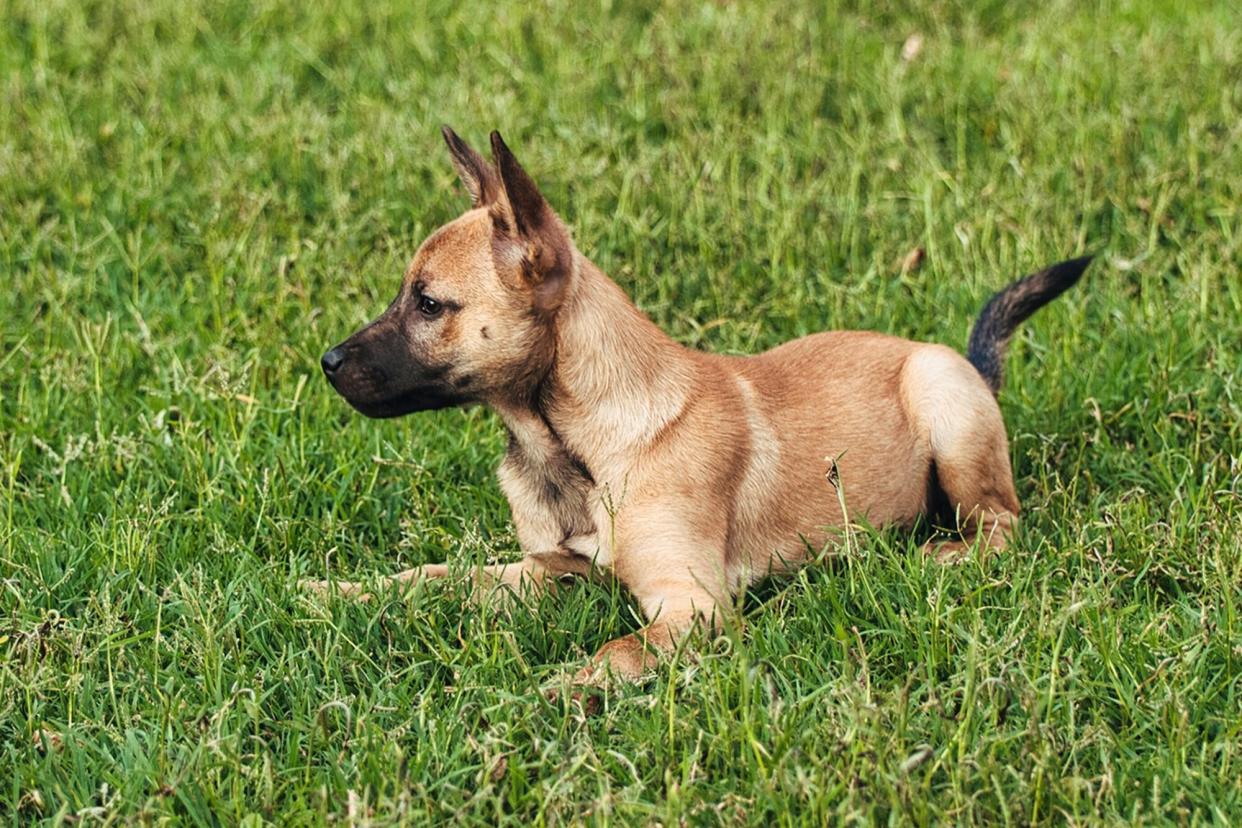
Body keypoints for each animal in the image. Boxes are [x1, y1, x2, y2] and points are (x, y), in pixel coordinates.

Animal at [312, 129, 1097, 685]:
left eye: (429, 304)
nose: (327, 363)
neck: (575, 445)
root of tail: (969, 364)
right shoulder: (551, 570)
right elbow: (437, 577)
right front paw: (338, 591)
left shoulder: (690, 607)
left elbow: (618, 652)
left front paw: (560, 691)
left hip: (943, 402)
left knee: (1000, 525)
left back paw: (928, 557)